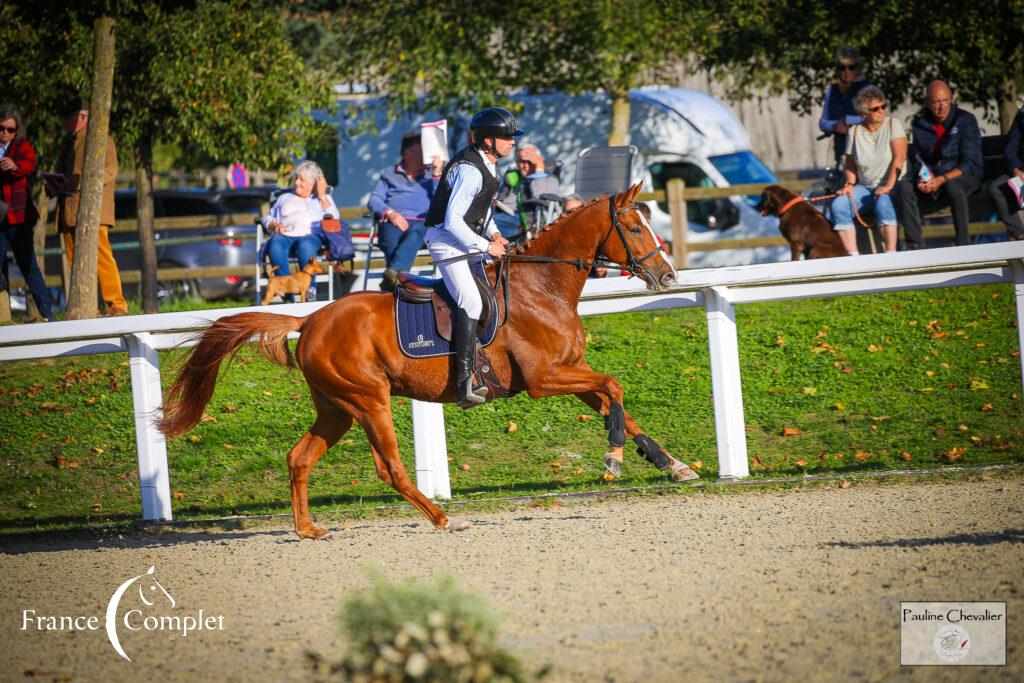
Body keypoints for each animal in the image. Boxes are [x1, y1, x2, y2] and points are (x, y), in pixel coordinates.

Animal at [159, 183, 700, 540]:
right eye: (634, 227)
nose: (669, 277)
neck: (542, 286)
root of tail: (310, 318)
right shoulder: (545, 379)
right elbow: (614, 387)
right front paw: (613, 459)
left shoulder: (570, 374)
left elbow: (615, 401)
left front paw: (671, 465)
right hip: (369, 401)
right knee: (390, 468)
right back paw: (441, 517)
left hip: (336, 408)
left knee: (300, 458)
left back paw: (308, 528)